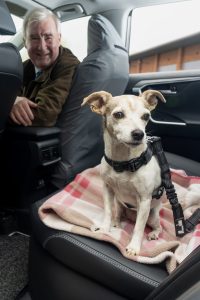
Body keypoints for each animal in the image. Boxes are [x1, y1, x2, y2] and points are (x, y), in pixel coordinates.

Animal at [81, 89, 166, 255]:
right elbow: (108, 212)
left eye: (146, 116)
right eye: (118, 114)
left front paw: (133, 247)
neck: (123, 163)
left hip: (152, 215)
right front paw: (104, 229)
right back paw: (116, 222)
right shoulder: (107, 189)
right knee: (118, 213)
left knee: (156, 226)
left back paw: (153, 233)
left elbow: (139, 228)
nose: (139, 134)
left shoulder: (144, 200)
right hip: (119, 203)